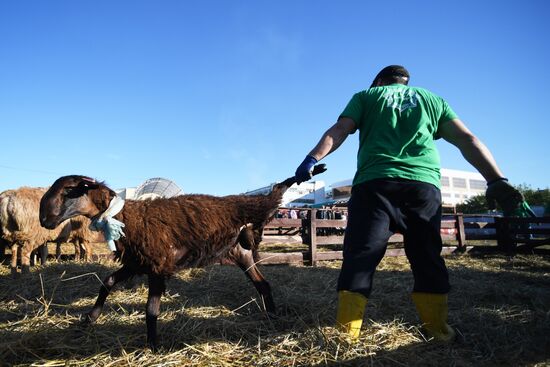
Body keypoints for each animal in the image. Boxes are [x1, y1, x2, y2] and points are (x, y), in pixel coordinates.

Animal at [40, 166, 328, 350]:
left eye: (69, 190)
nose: (44, 219)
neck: (125, 217)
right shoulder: (137, 263)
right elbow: (108, 283)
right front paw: (90, 318)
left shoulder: (157, 266)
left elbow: (151, 310)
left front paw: (153, 345)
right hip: (242, 254)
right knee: (263, 285)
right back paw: (272, 317)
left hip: (259, 209)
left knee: (276, 191)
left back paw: (307, 172)